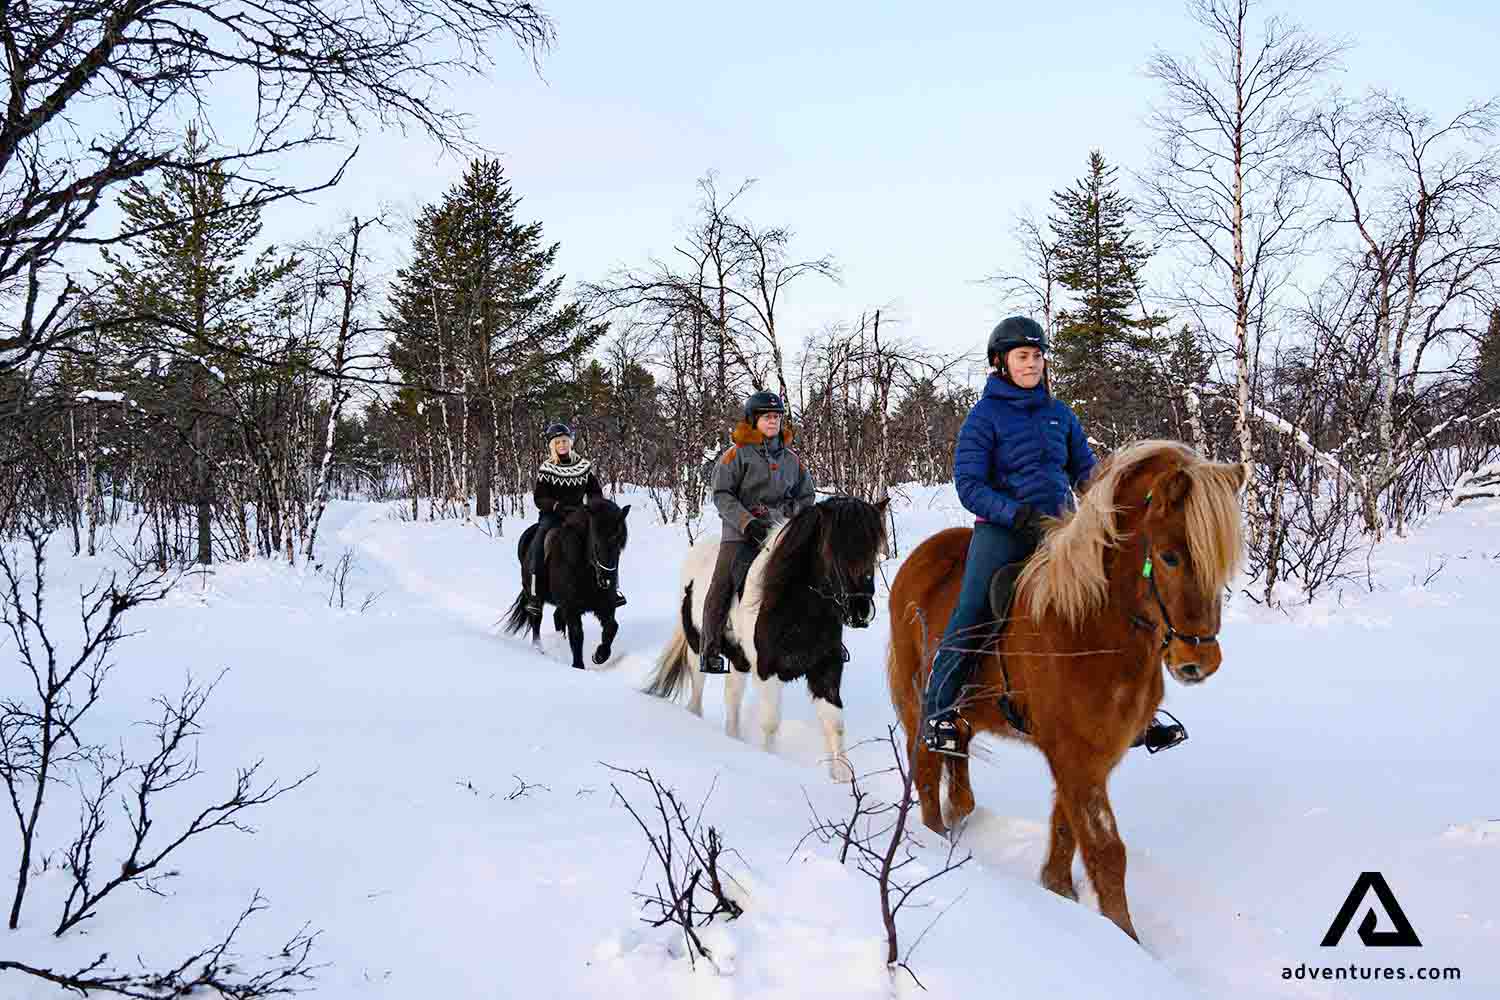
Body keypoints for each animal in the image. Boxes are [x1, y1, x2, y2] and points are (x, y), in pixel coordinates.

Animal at [503, 497, 631, 670]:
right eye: (596, 543)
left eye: (619, 543)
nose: (607, 580)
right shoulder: (571, 607)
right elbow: (577, 635)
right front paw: (578, 666)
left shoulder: (604, 606)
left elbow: (612, 627)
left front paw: (598, 656)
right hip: (534, 595)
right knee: (536, 619)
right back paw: (539, 649)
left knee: (557, 618)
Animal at [645, 496, 889, 778]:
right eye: (831, 550)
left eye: (873, 550)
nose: (859, 612)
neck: (798, 609)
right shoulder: (766, 670)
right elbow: (770, 723)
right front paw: (770, 760)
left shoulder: (825, 669)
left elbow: (834, 723)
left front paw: (842, 779)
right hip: (698, 649)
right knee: (697, 693)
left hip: (739, 660)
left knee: (732, 696)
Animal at [886, 440, 1245, 941]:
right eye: (1170, 556)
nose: (1199, 662)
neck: (1088, 627)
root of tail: (920, 556)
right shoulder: (1075, 756)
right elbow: (1107, 849)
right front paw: (1124, 938)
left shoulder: (1090, 757)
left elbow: (1066, 828)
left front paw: (1058, 890)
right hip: (917, 697)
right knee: (925, 761)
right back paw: (935, 835)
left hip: (966, 709)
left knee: (955, 752)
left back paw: (958, 813)